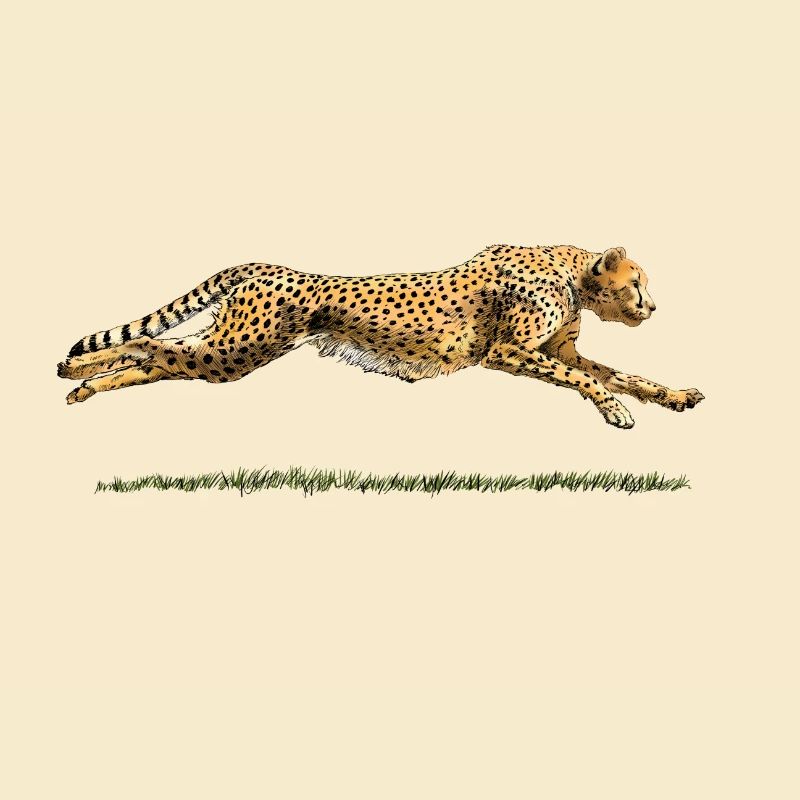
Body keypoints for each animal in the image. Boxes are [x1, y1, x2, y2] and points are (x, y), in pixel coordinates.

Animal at [57, 244, 704, 428]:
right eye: (637, 283)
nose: (653, 306)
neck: (572, 273)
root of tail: (266, 265)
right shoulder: (506, 351)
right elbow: (580, 378)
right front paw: (616, 411)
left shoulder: (555, 349)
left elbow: (620, 373)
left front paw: (674, 395)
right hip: (236, 350)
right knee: (150, 346)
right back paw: (72, 369)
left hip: (229, 352)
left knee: (160, 358)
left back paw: (79, 386)